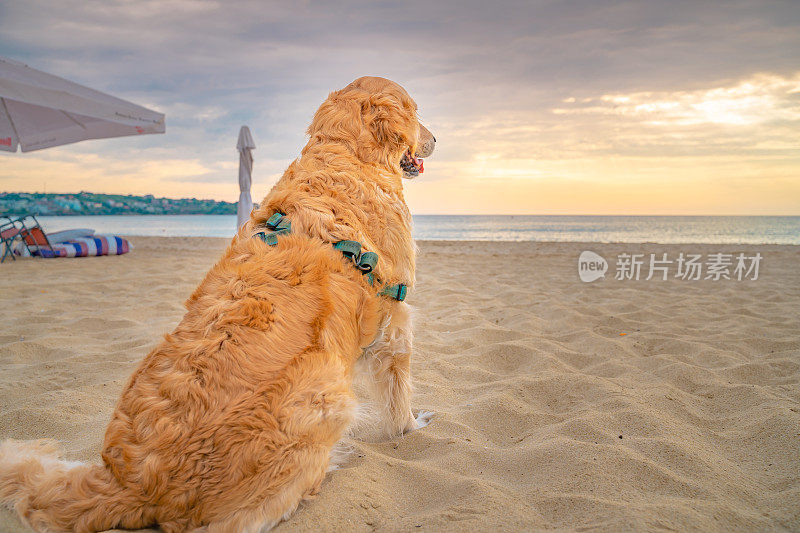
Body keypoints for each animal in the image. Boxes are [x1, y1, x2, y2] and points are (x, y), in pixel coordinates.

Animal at [0, 76, 438, 532]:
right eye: (416, 111)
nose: (436, 140)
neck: (347, 153)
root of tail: (130, 485)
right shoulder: (396, 316)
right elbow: (399, 393)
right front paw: (411, 426)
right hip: (325, 393)